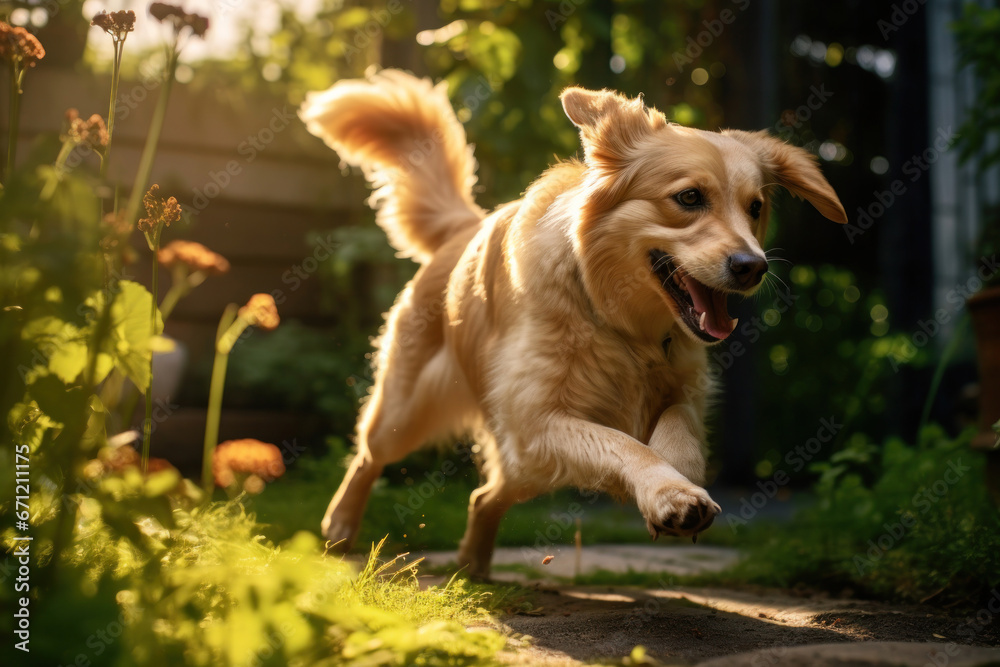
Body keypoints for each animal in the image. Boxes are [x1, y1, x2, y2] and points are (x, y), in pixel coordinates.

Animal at [300, 69, 848, 580]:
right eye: (690, 198)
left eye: (755, 208)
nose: (753, 266)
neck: (622, 325)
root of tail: (465, 226)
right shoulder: (538, 419)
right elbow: (625, 444)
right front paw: (668, 493)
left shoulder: (682, 393)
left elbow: (677, 436)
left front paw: (677, 487)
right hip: (412, 408)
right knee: (370, 455)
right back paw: (341, 526)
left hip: (522, 464)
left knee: (484, 495)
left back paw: (474, 562)